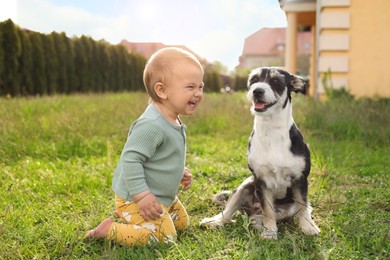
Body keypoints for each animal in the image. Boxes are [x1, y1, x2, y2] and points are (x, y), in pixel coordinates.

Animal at [201, 67, 320, 240]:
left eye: (276, 81)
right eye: (254, 80)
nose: (257, 91)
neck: (272, 131)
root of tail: (250, 209)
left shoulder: (300, 179)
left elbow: (303, 206)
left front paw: (308, 228)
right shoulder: (260, 181)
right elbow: (268, 211)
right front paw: (270, 232)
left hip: (285, 208)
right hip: (245, 186)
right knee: (229, 212)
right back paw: (215, 221)